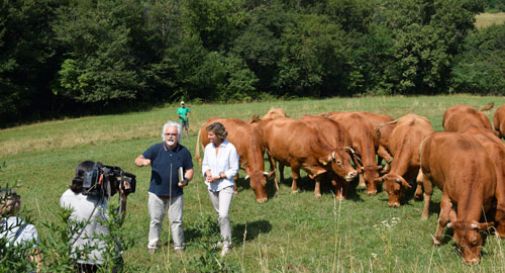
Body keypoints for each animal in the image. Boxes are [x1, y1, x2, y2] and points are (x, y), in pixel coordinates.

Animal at [420, 132, 494, 264]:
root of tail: (434, 134)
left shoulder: (487, 202)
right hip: (426, 172)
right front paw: (437, 240)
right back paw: (424, 215)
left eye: (474, 241)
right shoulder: (447, 195)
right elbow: (443, 220)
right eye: (460, 245)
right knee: (427, 194)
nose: (471, 262)